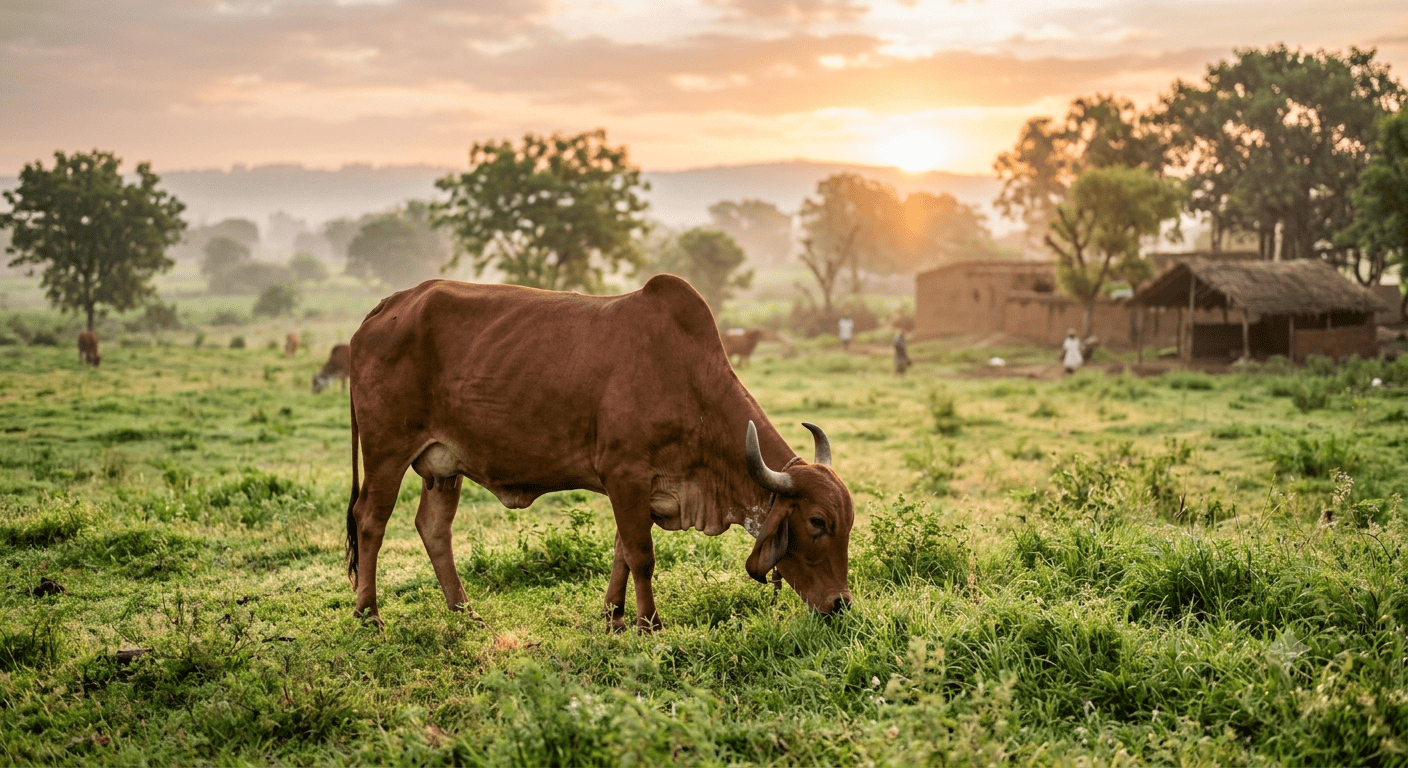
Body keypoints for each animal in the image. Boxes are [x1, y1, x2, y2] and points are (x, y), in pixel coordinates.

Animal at [344, 275, 854, 631]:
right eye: (817, 523)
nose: (841, 604)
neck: (690, 384)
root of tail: (387, 307)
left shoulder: (639, 489)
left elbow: (622, 551)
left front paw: (614, 616)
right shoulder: (625, 475)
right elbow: (642, 554)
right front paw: (650, 623)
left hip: (444, 466)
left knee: (433, 528)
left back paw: (463, 611)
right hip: (386, 450)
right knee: (370, 520)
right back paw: (369, 614)